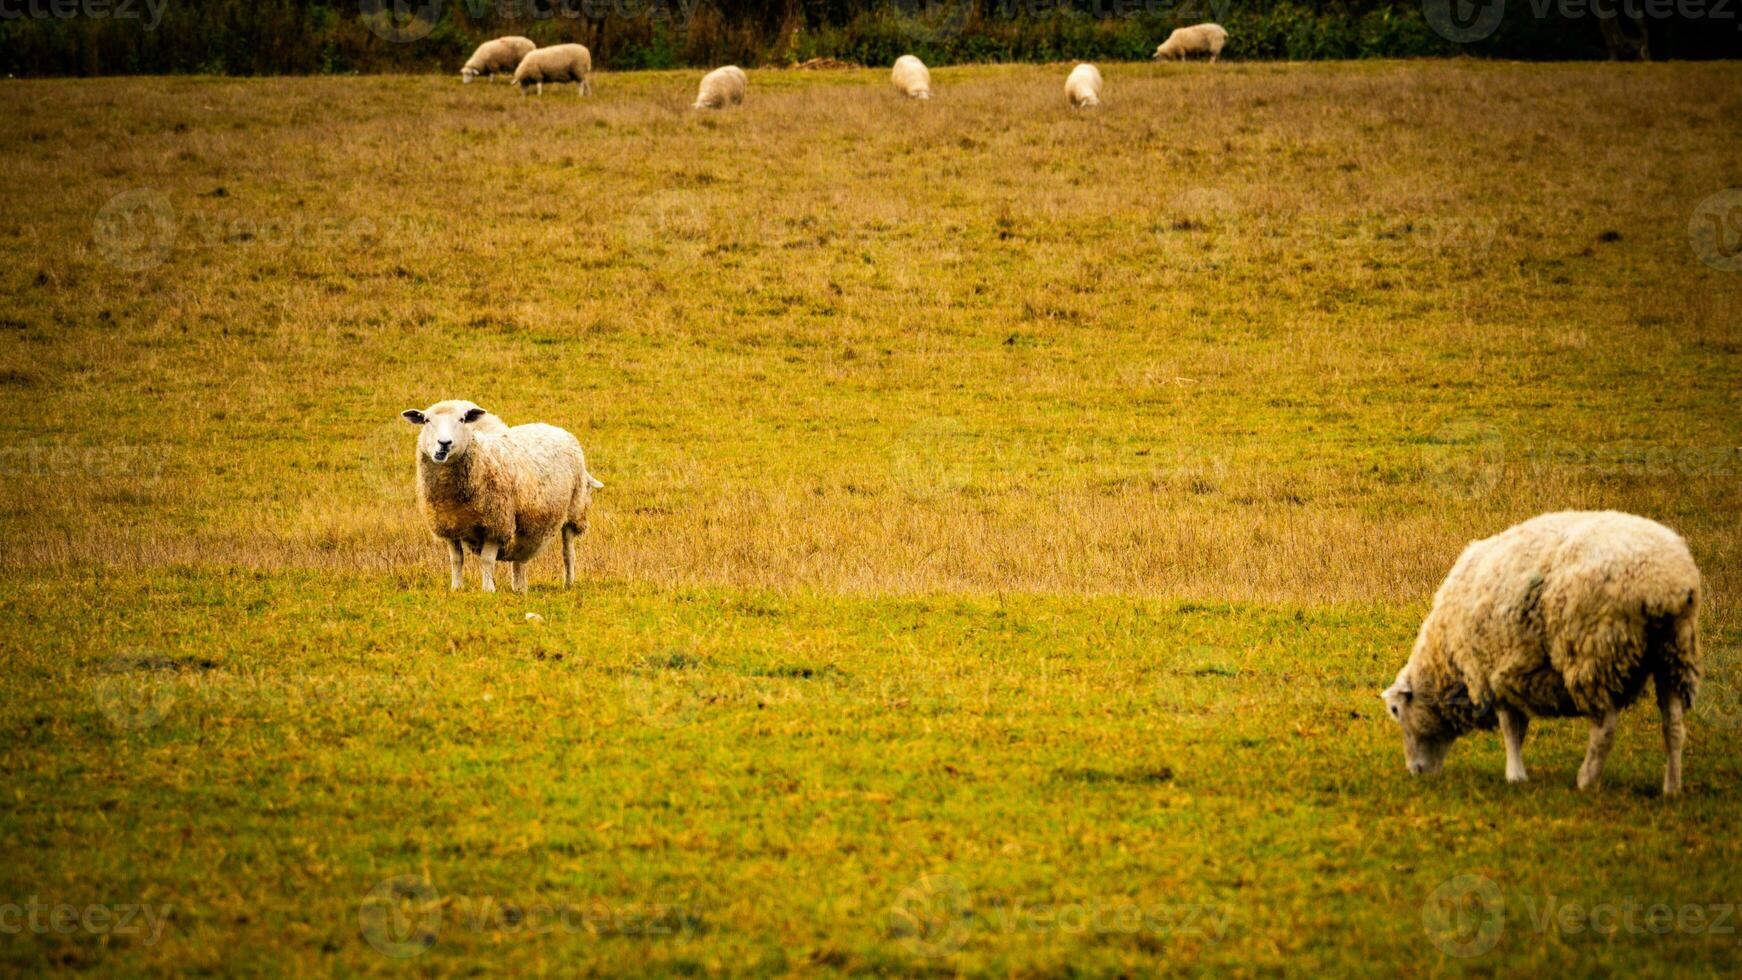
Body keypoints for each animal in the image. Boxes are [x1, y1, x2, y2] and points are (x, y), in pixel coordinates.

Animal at [400, 396, 606, 595]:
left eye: (462, 419)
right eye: (426, 420)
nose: (444, 444)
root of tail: (556, 429)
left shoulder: (496, 524)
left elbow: (486, 560)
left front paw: (488, 590)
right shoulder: (448, 525)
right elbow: (456, 559)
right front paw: (456, 587)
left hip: (574, 512)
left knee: (568, 552)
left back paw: (568, 583)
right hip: (527, 523)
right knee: (520, 557)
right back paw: (520, 588)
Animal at [1386, 515, 1700, 797]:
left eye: (1395, 711)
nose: (1415, 771)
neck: (1445, 659)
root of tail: (1664, 584)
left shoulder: (1491, 672)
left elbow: (1510, 727)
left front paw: (1515, 775)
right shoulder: (1509, 674)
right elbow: (1518, 727)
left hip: (1595, 653)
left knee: (1605, 729)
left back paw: (1586, 780)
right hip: (1674, 652)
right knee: (1674, 726)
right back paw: (1672, 788)